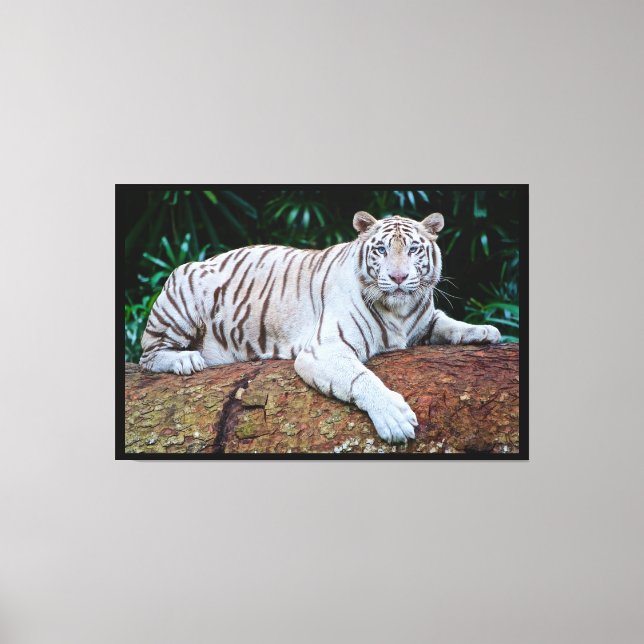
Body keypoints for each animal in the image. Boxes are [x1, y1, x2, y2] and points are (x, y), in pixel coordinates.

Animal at [139, 211, 501, 443]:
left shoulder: (423, 320)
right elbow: (361, 378)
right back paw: (185, 360)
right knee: (148, 355)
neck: (400, 310)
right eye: (381, 249)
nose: (398, 277)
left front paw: (484, 330)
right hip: (183, 292)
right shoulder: (325, 348)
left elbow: (448, 322)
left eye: (413, 249)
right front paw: (394, 418)